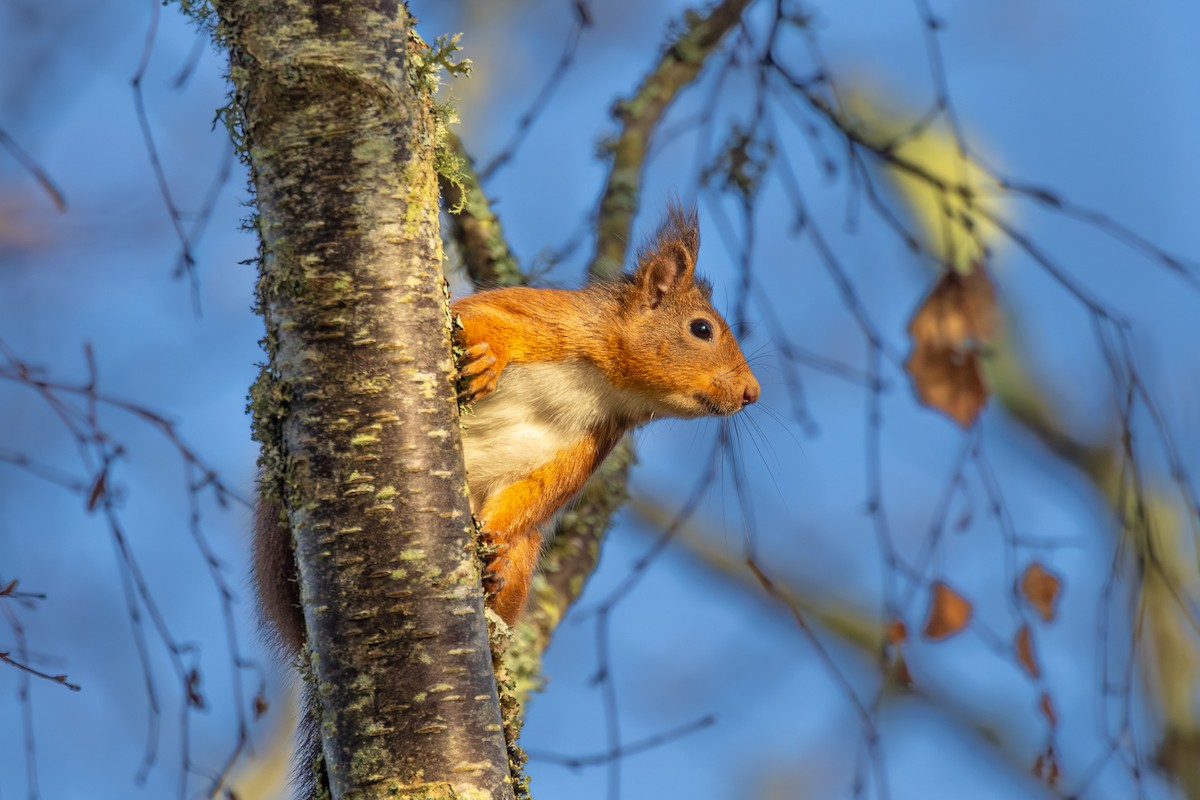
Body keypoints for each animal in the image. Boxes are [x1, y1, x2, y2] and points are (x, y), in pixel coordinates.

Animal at [253, 202, 760, 660]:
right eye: (701, 329)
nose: (752, 393)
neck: (603, 385)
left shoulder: (591, 442)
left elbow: (537, 492)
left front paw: (493, 544)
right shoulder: (542, 318)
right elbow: (480, 320)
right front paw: (488, 358)